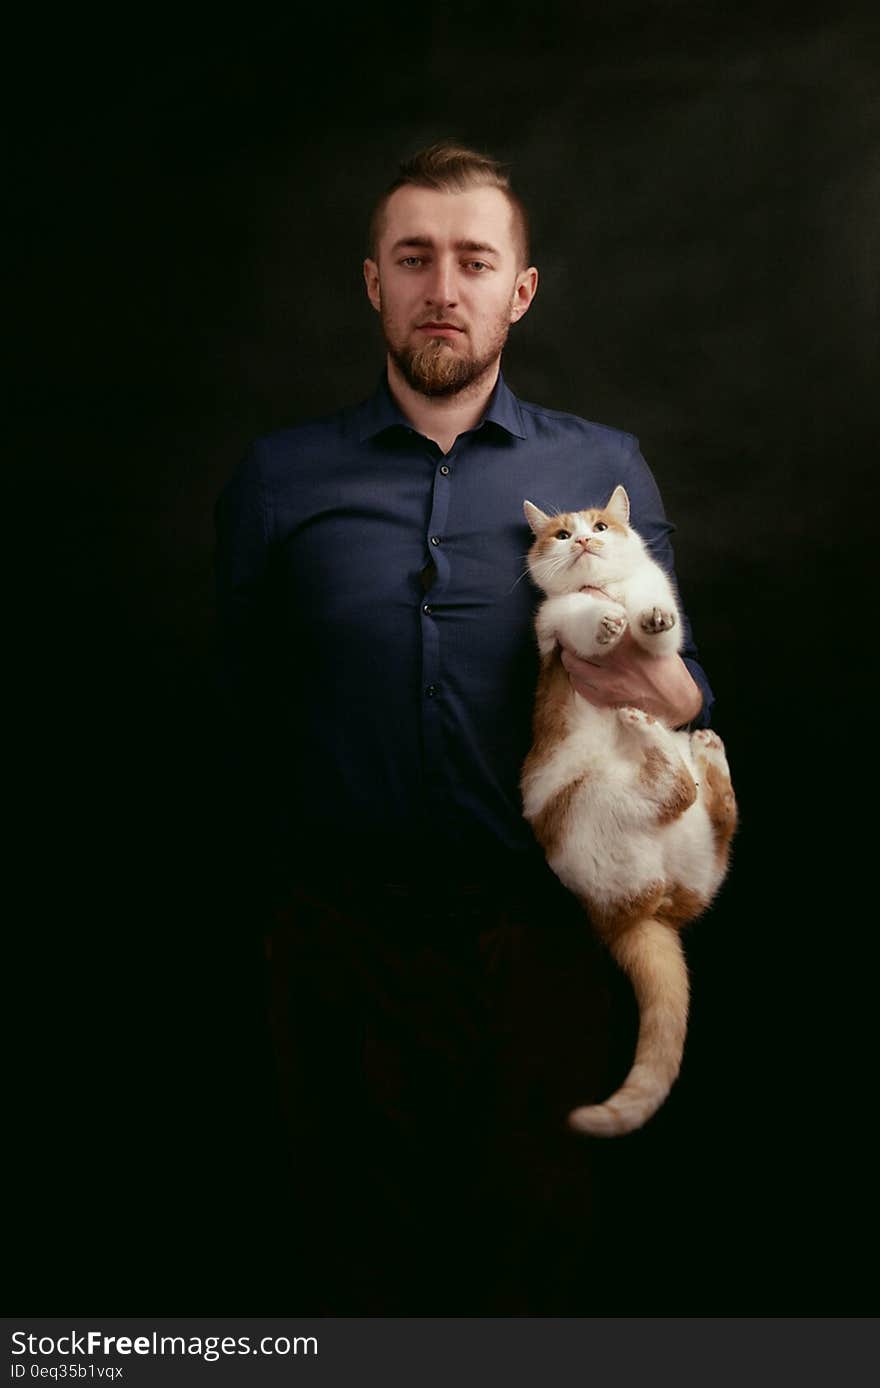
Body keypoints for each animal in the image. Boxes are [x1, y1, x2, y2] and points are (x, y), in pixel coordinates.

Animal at [516, 483, 738, 1132]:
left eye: (600, 526)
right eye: (562, 535)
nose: (585, 542)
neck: (609, 586)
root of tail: (640, 912)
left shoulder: (659, 611)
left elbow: (663, 631)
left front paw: (647, 617)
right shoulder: (552, 631)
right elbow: (579, 617)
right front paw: (608, 620)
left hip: (691, 849)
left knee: (710, 812)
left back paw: (702, 748)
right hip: (590, 795)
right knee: (676, 791)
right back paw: (650, 730)